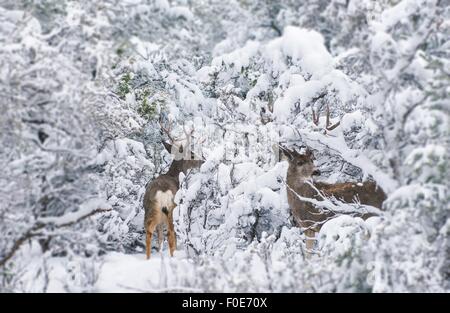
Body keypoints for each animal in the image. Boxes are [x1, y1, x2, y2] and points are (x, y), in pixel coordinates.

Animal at [143, 122, 203, 258]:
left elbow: (160, 238)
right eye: (192, 154)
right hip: (172, 210)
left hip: (150, 210)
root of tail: (162, 192)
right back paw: (173, 255)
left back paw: (148, 258)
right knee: (171, 233)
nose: (203, 160)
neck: (173, 176)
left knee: (149, 232)